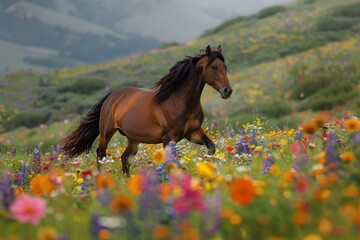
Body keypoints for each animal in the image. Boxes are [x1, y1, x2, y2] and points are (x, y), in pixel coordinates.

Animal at [59, 45, 233, 176]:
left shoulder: (193, 133)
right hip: (106, 132)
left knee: (125, 158)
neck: (181, 102)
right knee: (101, 155)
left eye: (225, 67)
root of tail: (111, 96)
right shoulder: (168, 138)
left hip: (133, 138)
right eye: (214, 67)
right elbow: (172, 163)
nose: (227, 91)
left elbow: (211, 147)